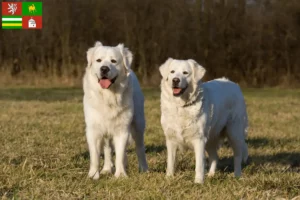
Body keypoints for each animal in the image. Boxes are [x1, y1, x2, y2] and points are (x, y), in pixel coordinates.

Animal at [82, 41, 148, 179]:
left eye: (113, 61)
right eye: (98, 60)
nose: (104, 69)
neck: (108, 96)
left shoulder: (121, 129)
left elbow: (120, 154)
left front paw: (121, 175)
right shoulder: (93, 130)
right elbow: (95, 155)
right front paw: (93, 175)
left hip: (138, 124)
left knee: (140, 147)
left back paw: (144, 169)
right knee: (107, 149)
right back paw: (107, 169)